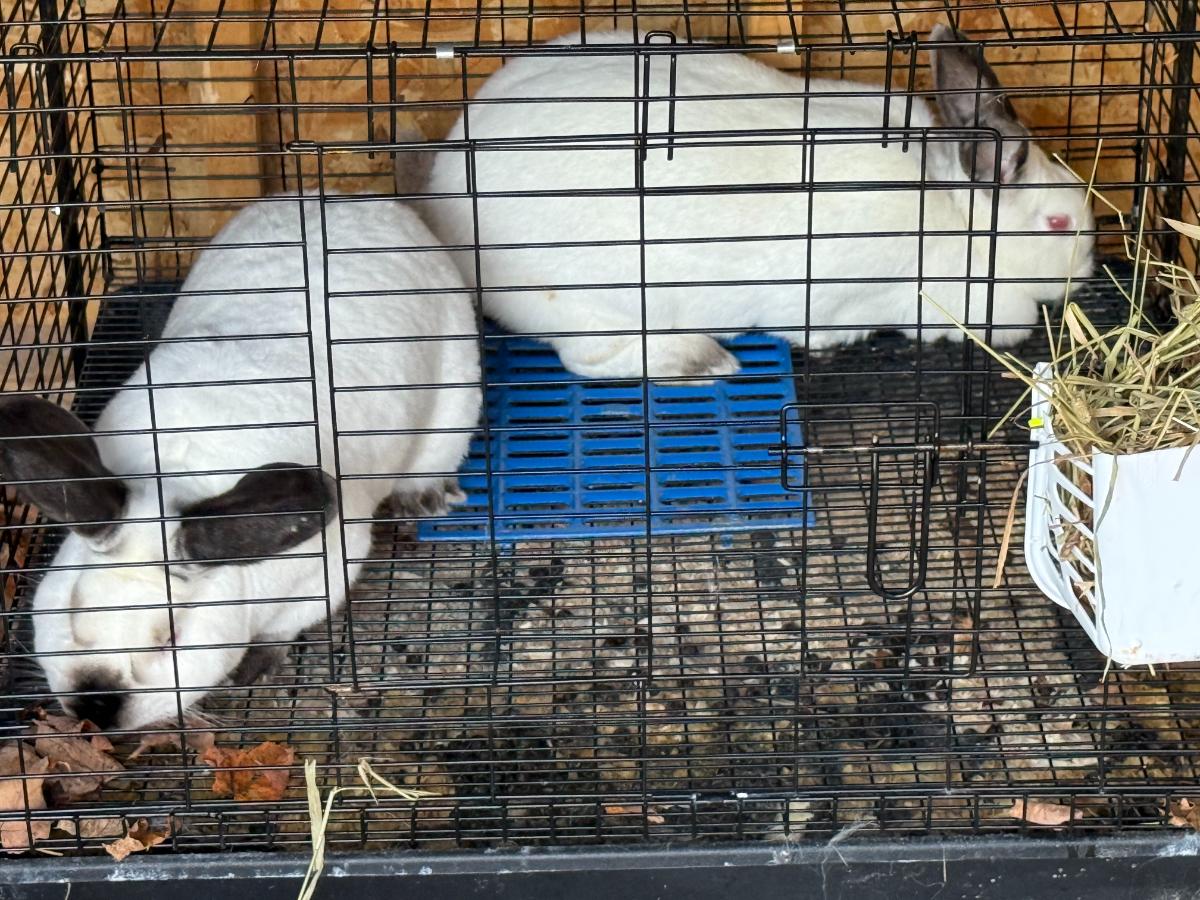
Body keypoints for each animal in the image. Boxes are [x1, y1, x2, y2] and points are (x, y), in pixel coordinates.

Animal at [0, 193, 481, 730]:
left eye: (170, 637)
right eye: (73, 610)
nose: (97, 704)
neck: (174, 478)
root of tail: (344, 199)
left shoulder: (329, 570)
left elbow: (282, 629)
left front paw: (253, 669)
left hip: (457, 391)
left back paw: (422, 499)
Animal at [422, 25, 1096, 381]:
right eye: (1058, 224)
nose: (1087, 271)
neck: (953, 215)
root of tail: (441, 196)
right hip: (591, 304)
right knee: (592, 357)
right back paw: (704, 359)